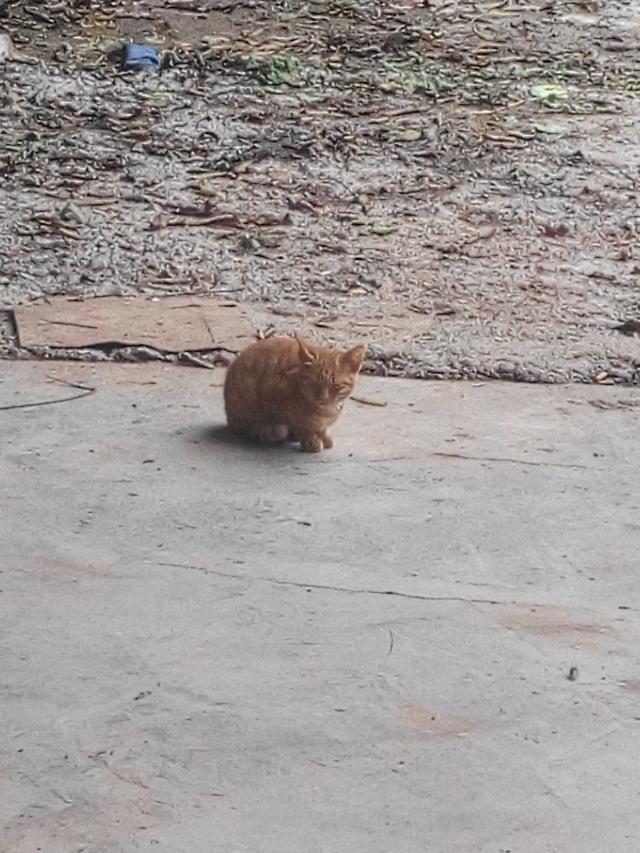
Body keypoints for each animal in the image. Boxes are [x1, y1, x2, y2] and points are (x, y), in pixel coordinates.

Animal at [224, 335, 366, 452]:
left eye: (336, 386)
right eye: (314, 383)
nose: (323, 398)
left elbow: (321, 428)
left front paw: (323, 436)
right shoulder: (275, 397)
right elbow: (301, 425)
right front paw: (310, 440)